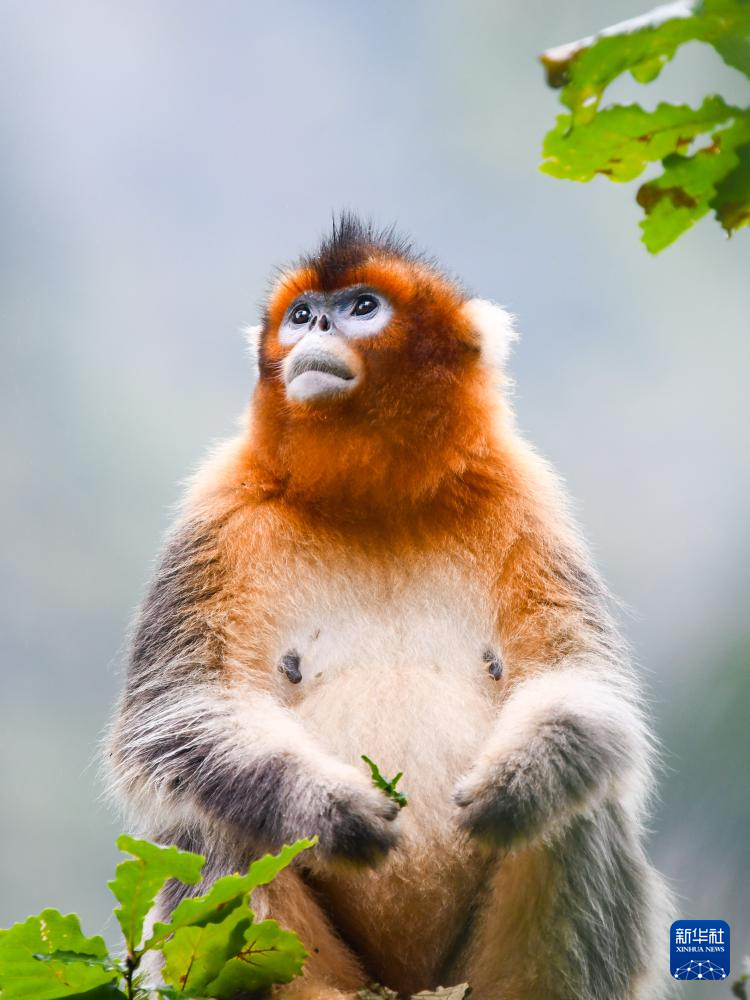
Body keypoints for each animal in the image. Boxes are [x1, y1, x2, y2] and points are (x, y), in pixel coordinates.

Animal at [107, 215, 672, 1000]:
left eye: (361, 307)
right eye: (301, 315)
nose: (316, 330)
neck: (372, 502)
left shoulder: (524, 499)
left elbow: (584, 688)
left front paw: (520, 784)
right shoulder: (218, 511)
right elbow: (179, 713)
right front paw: (331, 811)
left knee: (584, 801)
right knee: (214, 809)